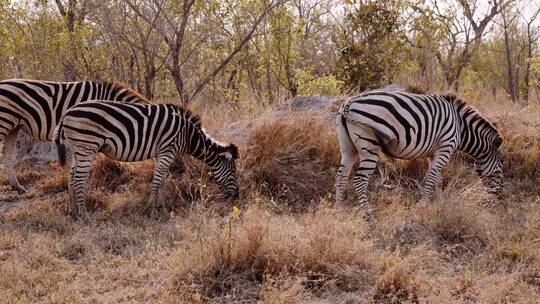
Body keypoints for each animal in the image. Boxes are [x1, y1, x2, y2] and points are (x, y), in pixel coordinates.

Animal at [53, 101, 238, 222]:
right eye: (233, 171)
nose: (237, 196)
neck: (187, 135)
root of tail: (67, 113)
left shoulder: (162, 153)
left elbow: (163, 180)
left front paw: (162, 208)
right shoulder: (167, 150)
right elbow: (156, 181)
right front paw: (151, 211)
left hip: (77, 149)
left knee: (71, 177)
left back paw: (74, 213)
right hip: (87, 145)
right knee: (78, 179)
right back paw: (85, 216)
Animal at [336, 90, 504, 218]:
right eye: (501, 165)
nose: (501, 197)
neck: (460, 126)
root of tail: (349, 103)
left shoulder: (434, 152)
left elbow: (437, 178)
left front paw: (440, 203)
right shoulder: (446, 147)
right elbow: (432, 177)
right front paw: (423, 205)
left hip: (348, 147)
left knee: (341, 176)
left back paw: (339, 208)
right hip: (369, 146)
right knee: (360, 179)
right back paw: (369, 216)